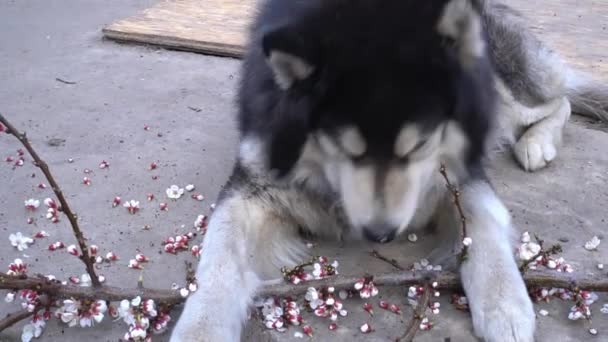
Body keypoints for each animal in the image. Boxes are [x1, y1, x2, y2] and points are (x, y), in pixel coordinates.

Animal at [170, 0, 608, 342]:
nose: (380, 234)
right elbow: (219, 257)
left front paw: (505, 306)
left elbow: (483, 225)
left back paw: (537, 142)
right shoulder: (253, 181)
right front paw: (200, 327)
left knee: (559, 101)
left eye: (419, 146)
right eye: (343, 149)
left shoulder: (460, 173)